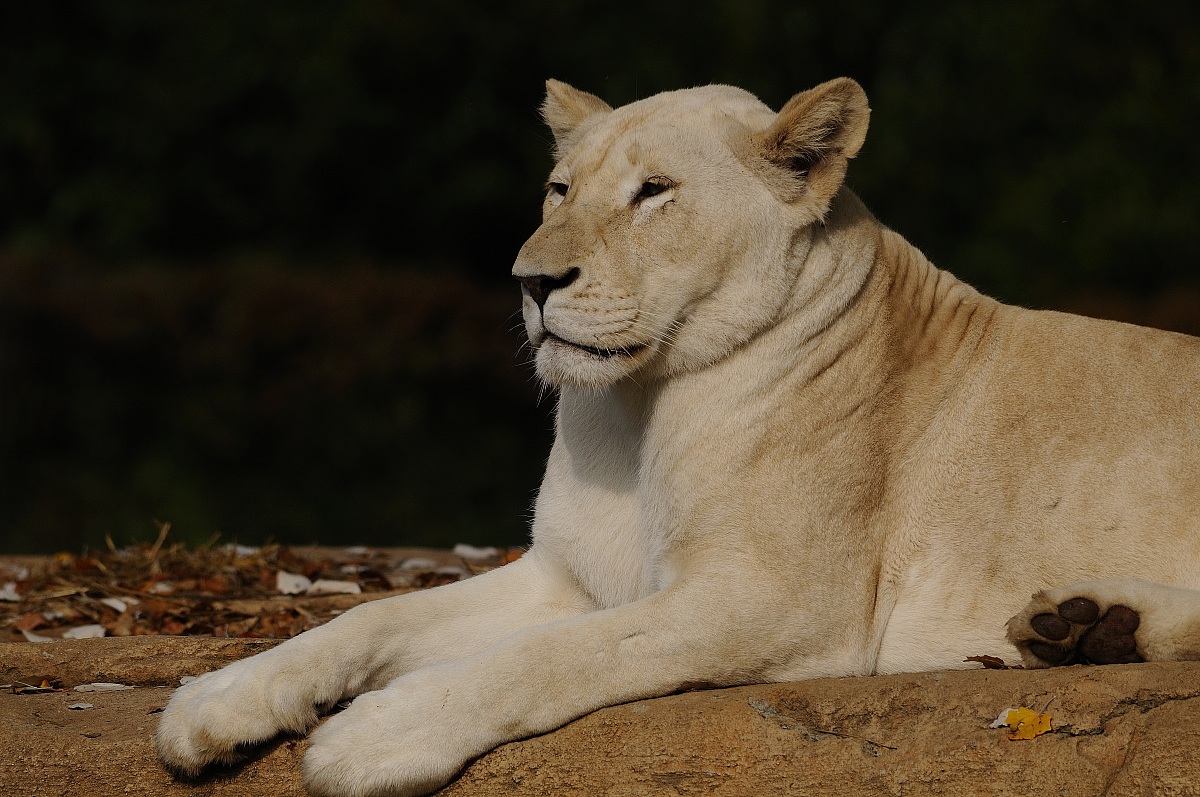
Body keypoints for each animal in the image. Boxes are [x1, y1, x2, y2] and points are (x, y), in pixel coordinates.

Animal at [155, 78, 1200, 797]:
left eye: (653, 191)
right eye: (558, 188)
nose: (532, 281)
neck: (632, 411)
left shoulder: (779, 602)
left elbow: (562, 656)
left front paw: (377, 737)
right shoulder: (565, 577)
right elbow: (370, 617)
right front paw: (212, 703)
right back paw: (1082, 628)